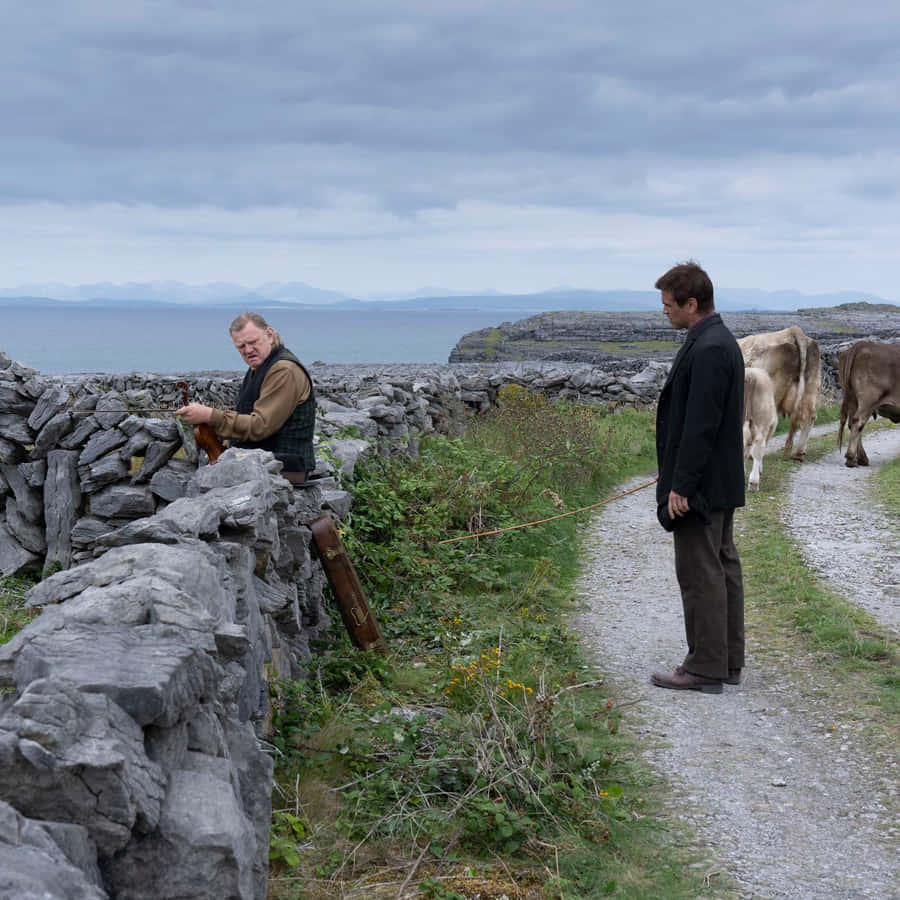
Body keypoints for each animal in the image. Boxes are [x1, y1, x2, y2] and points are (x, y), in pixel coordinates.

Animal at [736, 326, 820, 464]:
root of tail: (792, 330)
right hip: (811, 387)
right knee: (809, 416)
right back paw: (798, 453)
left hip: (769, 395)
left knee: (769, 422)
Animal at [836, 340, 900, 472]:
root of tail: (862, 344)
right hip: (868, 400)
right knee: (858, 421)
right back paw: (851, 458)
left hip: (853, 399)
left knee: (852, 423)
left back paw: (861, 458)